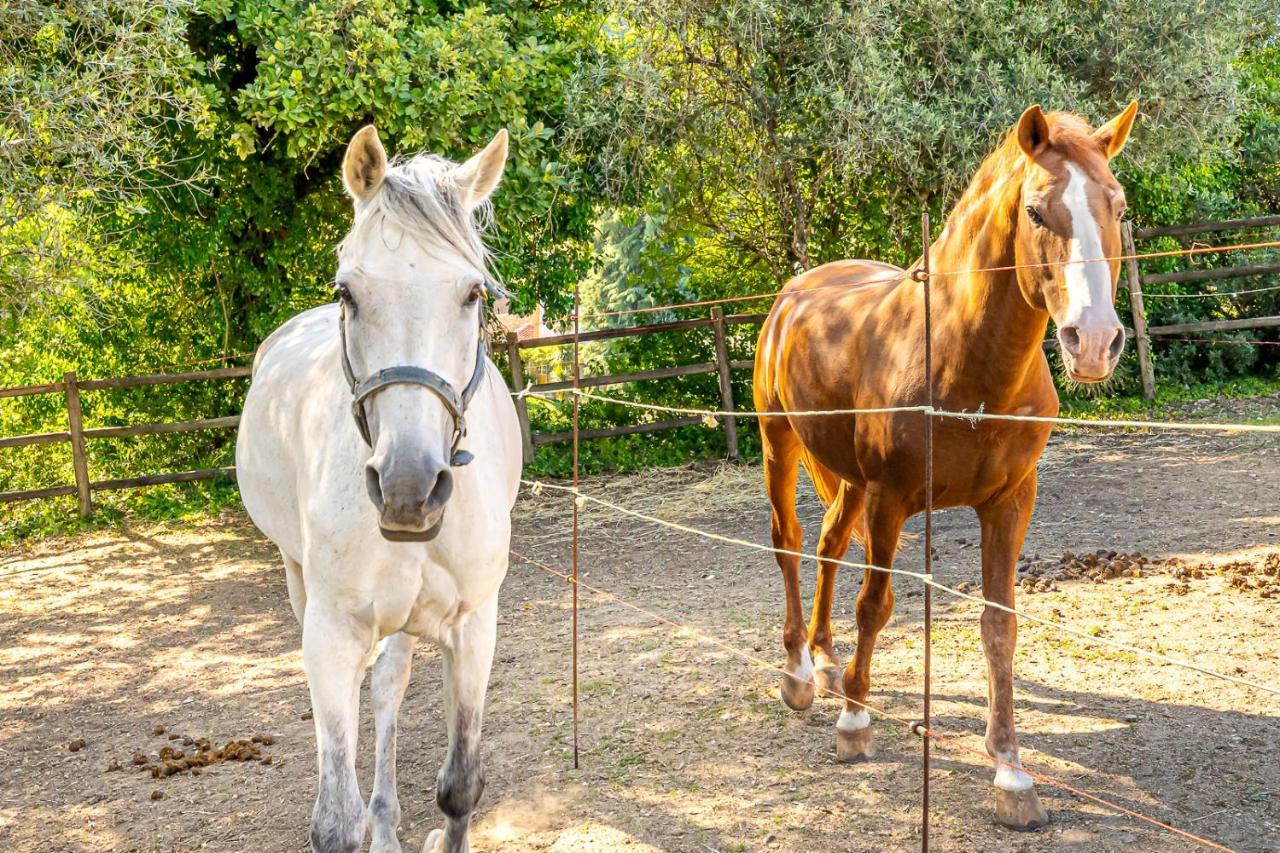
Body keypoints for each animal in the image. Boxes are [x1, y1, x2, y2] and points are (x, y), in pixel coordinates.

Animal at [235, 126, 519, 850]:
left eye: (472, 294)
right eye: (349, 293)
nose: (409, 488)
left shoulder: (474, 627)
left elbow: (460, 787)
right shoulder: (332, 632)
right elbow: (334, 820)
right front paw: (355, 816)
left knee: (388, 683)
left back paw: (386, 821)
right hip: (298, 578)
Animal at [752, 103, 1136, 824]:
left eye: (1118, 205)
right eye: (1036, 210)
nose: (1094, 340)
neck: (966, 364)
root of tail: (795, 291)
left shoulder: (1011, 501)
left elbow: (999, 623)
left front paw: (1011, 772)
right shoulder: (892, 497)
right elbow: (875, 605)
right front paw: (855, 723)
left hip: (848, 479)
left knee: (827, 544)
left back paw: (824, 659)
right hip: (779, 442)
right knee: (789, 541)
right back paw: (799, 676)